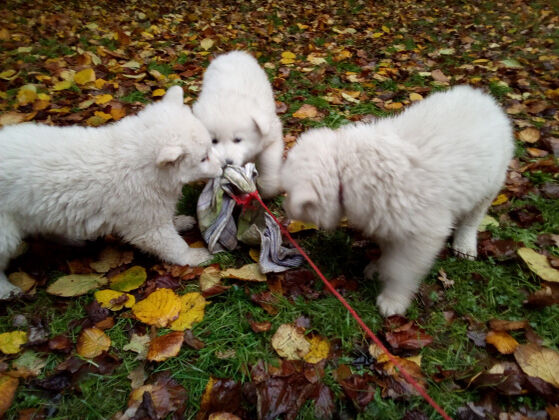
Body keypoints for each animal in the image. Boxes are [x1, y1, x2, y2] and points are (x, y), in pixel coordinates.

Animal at [0, 86, 223, 298]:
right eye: (203, 158)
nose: (224, 165)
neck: (137, 164)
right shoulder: (145, 222)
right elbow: (172, 244)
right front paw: (194, 256)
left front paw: (180, 222)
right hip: (6, 230)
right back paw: (6, 290)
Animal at [195, 50, 286, 199]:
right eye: (214, 141)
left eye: (237, 139)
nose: (227, 163)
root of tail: (231, 54)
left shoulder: (271, 138)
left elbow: (268, 163)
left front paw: (268, 190)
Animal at [282, 85, 516, 316]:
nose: (284, 216)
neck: (347, 168)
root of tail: (485, 99)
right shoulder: (386, 219)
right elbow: (389, 252)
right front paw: (378, 267)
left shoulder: (423, 234)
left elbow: (401, 269)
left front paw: (393, 300)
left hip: (491, 183)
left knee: (472, 219)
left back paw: (465, 245)